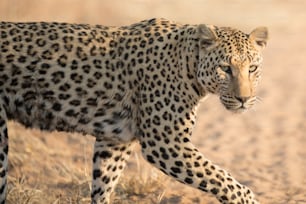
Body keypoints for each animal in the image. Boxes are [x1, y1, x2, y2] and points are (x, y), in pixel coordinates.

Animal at [0, 18, 268, 203]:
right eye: (225, 68)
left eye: (253, 68)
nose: (244, 99)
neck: (188, 64)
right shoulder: (166, 143)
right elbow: (225, 181)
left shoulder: (115, 140)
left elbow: (103, 184)